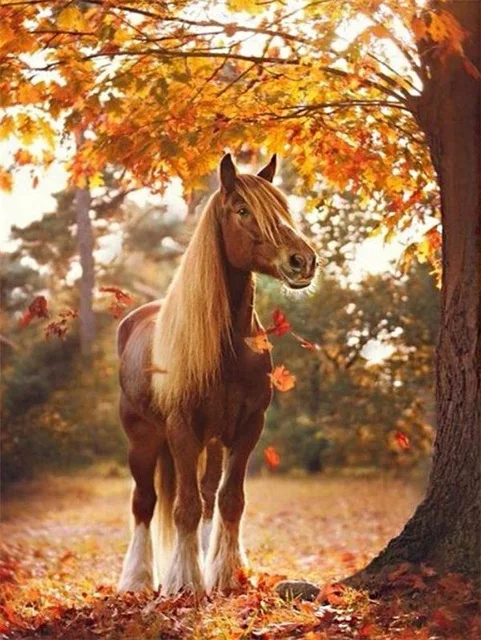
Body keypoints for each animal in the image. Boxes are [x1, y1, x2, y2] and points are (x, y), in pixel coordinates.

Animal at [117, 153, 318, 596]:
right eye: (242, 210)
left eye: (283, 208)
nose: (303, 261)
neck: (229, 347)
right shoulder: (181, 428)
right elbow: (185, 508)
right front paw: (184, 583)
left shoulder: (247, 427)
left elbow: (229, 500)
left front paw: (226, 574)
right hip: (143, 438)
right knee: (144, 503)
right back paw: (136, 580)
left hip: (210, 441)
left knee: (209, 496)